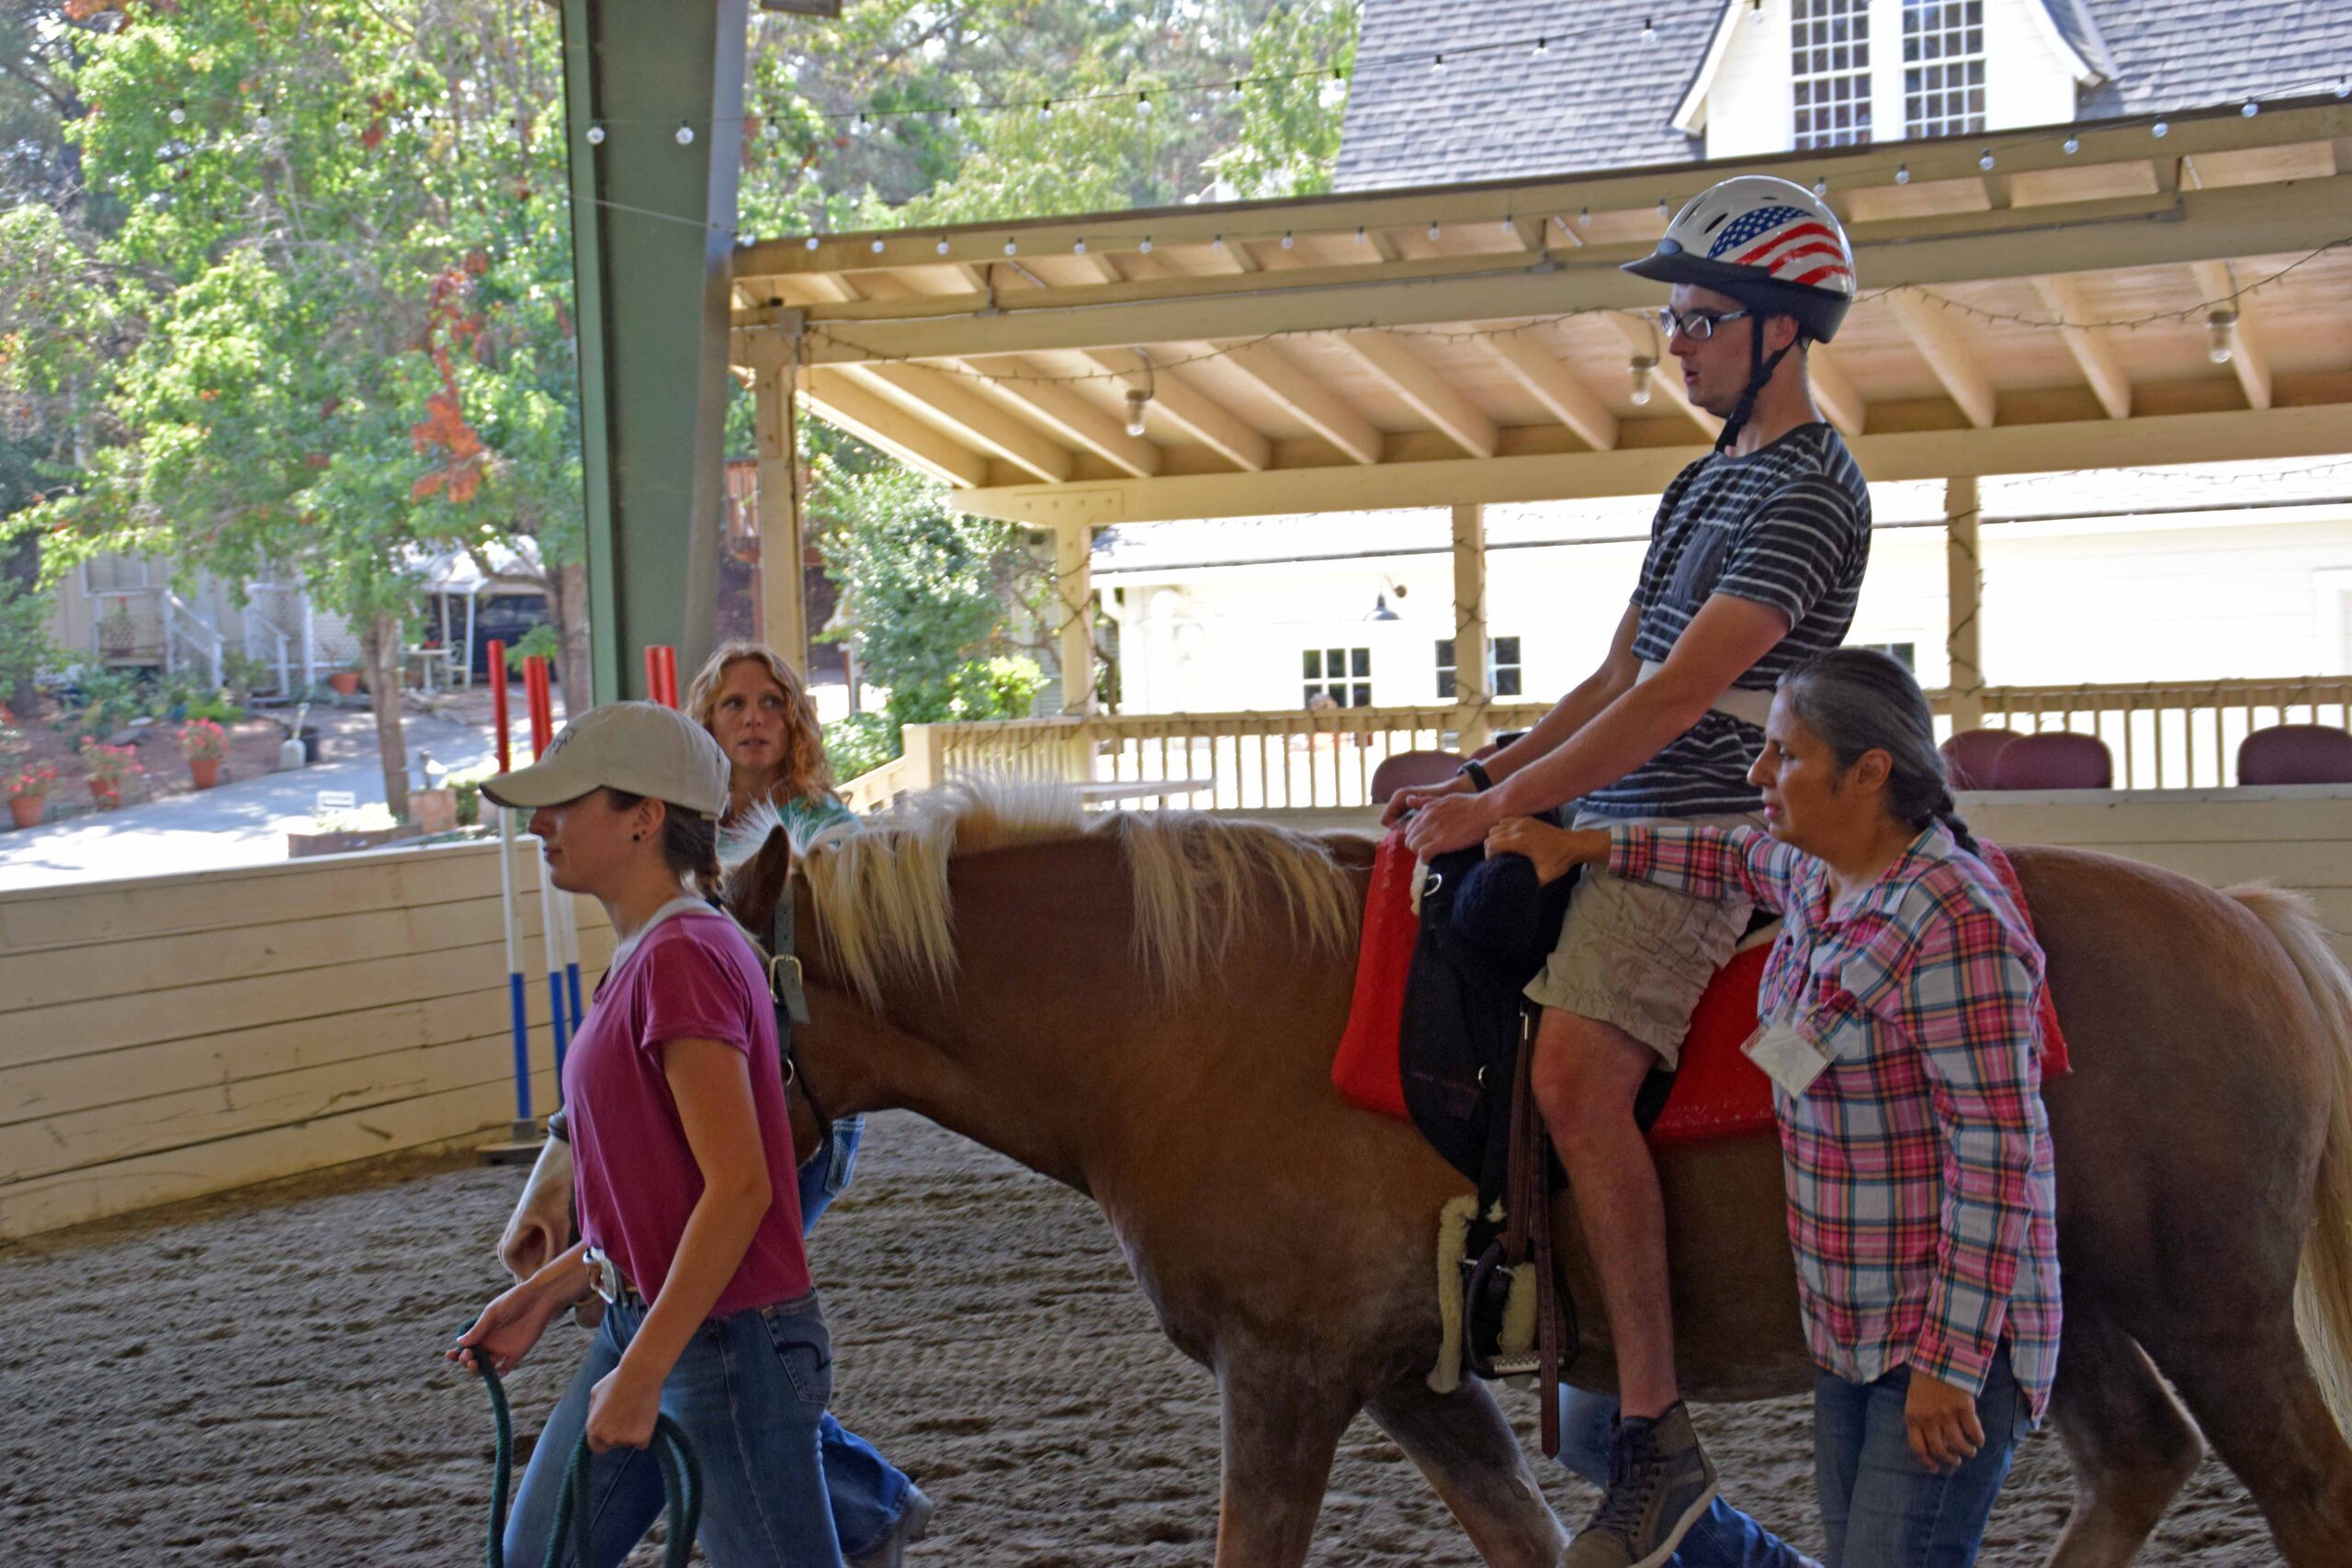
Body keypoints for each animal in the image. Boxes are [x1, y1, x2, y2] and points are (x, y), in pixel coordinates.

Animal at [715, 789, 2352, 1568]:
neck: (1185, 1014)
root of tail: (2248, 922)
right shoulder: (1414, 1381)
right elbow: (1522, 1532)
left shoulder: (1286, 1376)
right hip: (2047, 1308)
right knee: (2138, 1458)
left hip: (2213, 1310)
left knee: (2306, 1487)